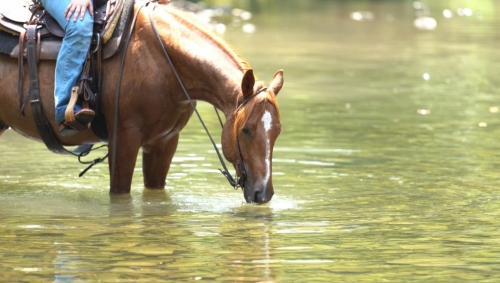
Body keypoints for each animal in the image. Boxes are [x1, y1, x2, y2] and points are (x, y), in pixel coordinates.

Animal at [0, 3, 284, 204]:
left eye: (277, 132)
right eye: (246, 130)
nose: (263, 194)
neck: (164, 60)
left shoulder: (164, 142)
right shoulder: (123, 139)